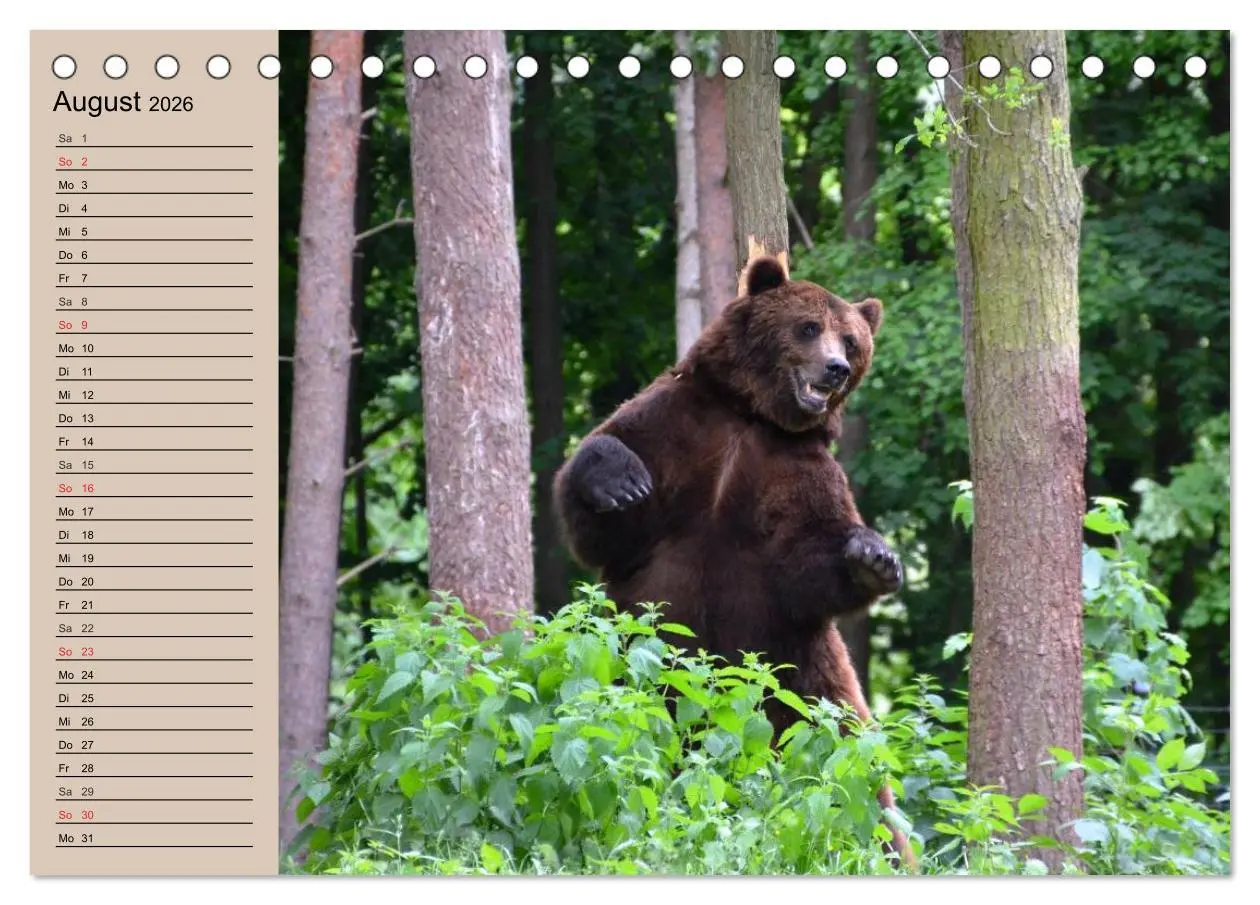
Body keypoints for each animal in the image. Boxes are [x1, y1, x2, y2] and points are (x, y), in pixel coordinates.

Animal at [553, 254, 913, 864]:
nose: (837, 368)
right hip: (635, 661)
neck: (753, 417)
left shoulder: (797, 469)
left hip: (799, 673)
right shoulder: (676, 424)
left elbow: (806, 562)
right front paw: (619, 481)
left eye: (851, 339)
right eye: (808, 327)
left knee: (850, 767)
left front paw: (873, 556)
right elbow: (602, 513)